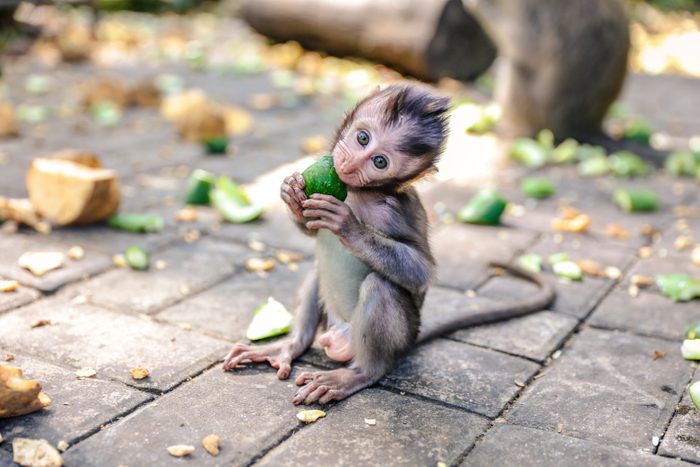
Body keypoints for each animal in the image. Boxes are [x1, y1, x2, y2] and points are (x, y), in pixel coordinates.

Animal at [223, 84, 555, 405]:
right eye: (362, 138)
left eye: (379, 162)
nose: (351, 164)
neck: (358, 193)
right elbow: (310, 228)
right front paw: (290, 193)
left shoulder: (396, 210)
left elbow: (421, 270)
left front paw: (349, 226)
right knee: (317, 272)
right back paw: (290, 346)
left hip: (396, 335)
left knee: (380, 287)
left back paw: (359, 374)